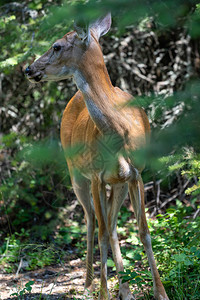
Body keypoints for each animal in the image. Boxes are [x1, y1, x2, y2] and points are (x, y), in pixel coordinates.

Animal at [25, 13, 169, 300]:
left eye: (56, 46)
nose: (28, 68)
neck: (120, 131)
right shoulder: (95, 176)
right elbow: (101, 233)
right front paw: (103, 292)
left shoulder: (136, 174)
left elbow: (143, 231)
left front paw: (161, 293)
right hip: (76, 173)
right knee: (91, 220)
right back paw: (89, 285)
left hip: (117, 183)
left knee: (112, 225)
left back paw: (125, 290)